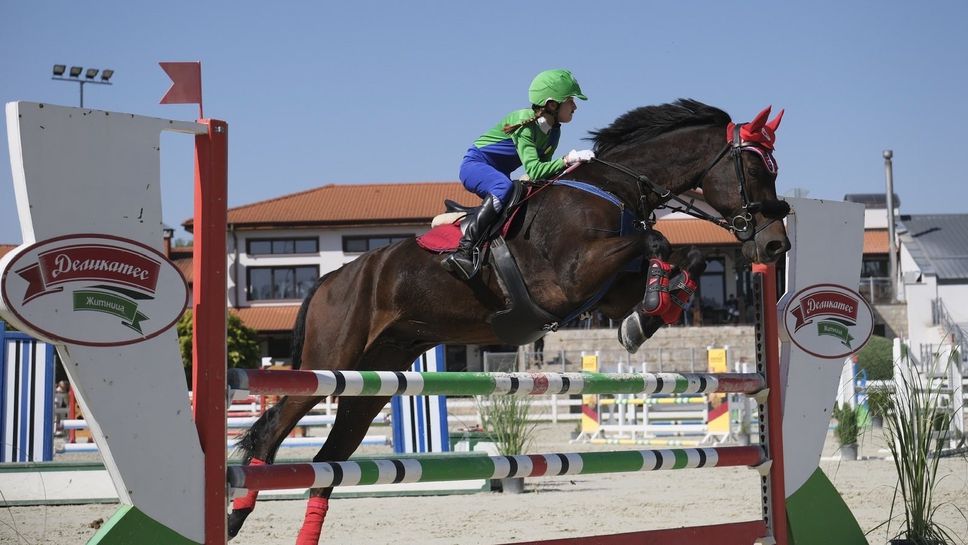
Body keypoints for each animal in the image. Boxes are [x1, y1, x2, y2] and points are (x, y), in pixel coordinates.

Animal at [231, 99, 792, 540]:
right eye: (756, 170)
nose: (774, 246)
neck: (611, 188)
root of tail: (328, 280)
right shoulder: (569, 279)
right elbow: (658, 240)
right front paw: (652, 307)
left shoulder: (605, 291)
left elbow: (682, 258)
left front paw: (654, 310)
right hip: (328, 367)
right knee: (272, 431)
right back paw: (236, 515)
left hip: (371, 382)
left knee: (328, 460)